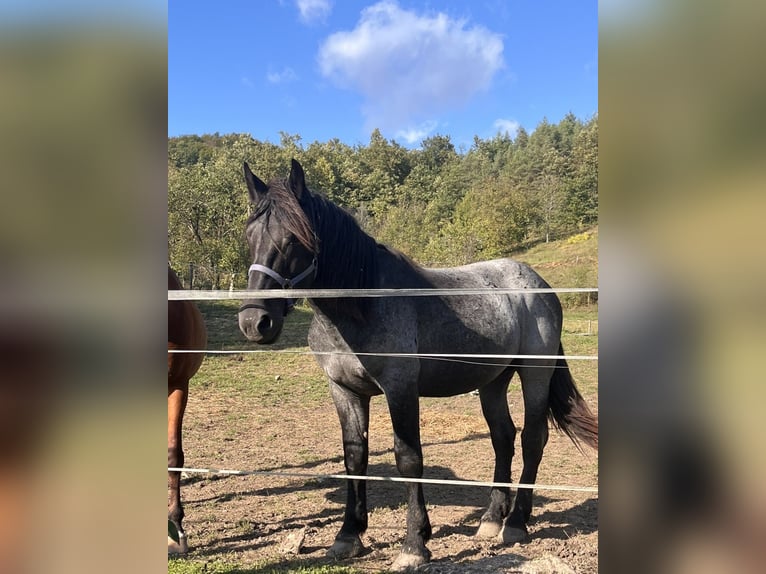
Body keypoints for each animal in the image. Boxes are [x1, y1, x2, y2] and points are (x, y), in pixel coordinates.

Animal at [237, 160, 598, 570]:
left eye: (294, 240)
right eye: (249, 236)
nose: (254, 322)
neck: (362, 305)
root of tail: (541, 286)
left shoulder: (400, 388)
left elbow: (408, 459)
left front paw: (414, 546)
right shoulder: (344, 390)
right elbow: (354, 457)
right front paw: (348, 536)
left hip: (535, 373)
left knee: (532, 439)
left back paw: (517, 523)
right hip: (493, 380)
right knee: (502, 437)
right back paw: (492, 519)